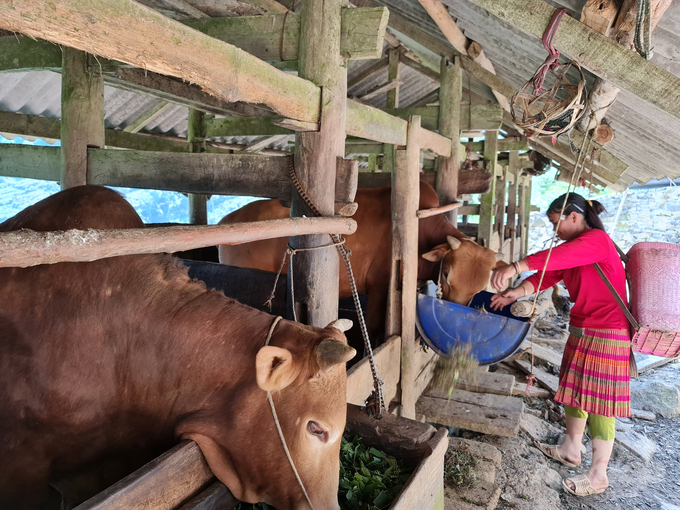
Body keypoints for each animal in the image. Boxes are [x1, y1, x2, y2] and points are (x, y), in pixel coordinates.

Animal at [220, 181, 502, 340]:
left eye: (480, 288)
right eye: (446, 276)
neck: (419, 229)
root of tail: (228, 219)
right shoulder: (380, 286)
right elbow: (375, 326)